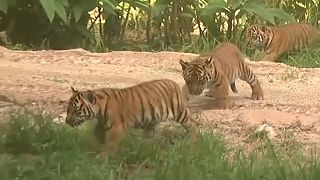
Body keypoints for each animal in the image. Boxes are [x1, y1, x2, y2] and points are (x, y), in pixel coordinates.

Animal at [65, 79, 198, 157]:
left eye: (76, 110)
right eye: (68, 108)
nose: (67, 121)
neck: (99, 109)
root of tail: (173, 82)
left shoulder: (116, 127)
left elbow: (111, 144)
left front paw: (102, 157)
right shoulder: (102, 122)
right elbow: (97, 133)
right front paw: (99, 143)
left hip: (179, 112)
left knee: (192, 125)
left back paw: (192, 143)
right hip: (154, 117)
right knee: (150, 132)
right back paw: (145, 144)